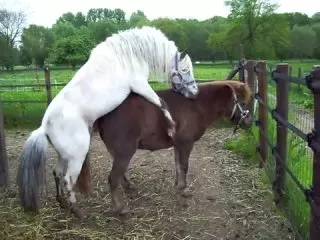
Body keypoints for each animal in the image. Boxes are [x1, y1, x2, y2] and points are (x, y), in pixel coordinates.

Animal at [17, 25, 199, 215]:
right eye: (185, 70)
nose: (195, 92)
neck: (130, 55)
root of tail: (44, 127)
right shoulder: (140, 85)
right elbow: (161, 102)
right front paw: (171, 128)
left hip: (64, 155)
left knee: (57, 173)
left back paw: (63, 203)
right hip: (76, 157)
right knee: (68, 179)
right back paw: (77, 211)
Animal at [69, 79, 252, 217]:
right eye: (242, 103)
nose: (249, 122)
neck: (196, 105)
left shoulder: (178, 144)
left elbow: (178, 166)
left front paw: (178, 185)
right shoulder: (186, 143)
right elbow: (184, 166)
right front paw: (183, 189)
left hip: (119, 152)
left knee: (121, 174)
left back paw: (129, 187)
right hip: (125, 151)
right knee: (114, 178)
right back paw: (120, 209)